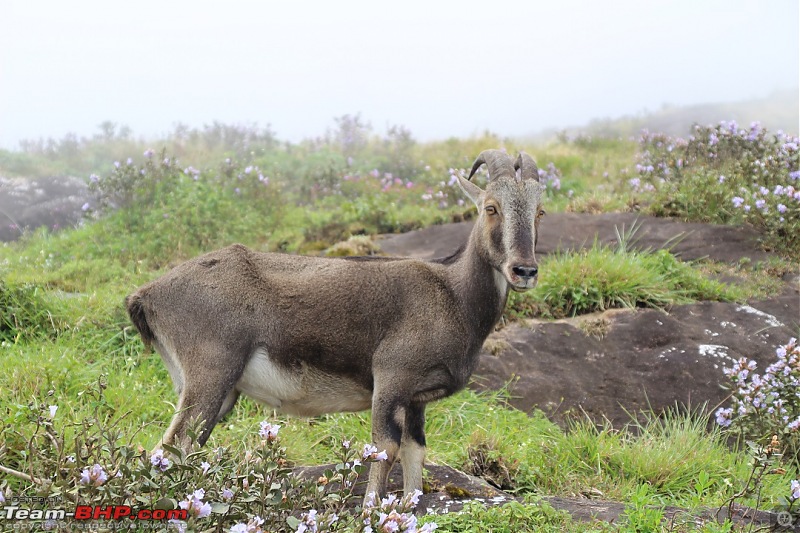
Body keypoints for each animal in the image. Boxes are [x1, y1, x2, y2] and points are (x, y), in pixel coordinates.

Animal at [125, 150, 548, 498]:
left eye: (539, 211)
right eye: (491, 207)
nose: (524, 270)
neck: (452, 294)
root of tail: (146, 295)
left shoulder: (415, 399)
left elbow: (416, 454)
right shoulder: (391, 379)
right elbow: (385, 448)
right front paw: (370, 512)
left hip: (214, 390)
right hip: (210, 376)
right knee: (172, 448)